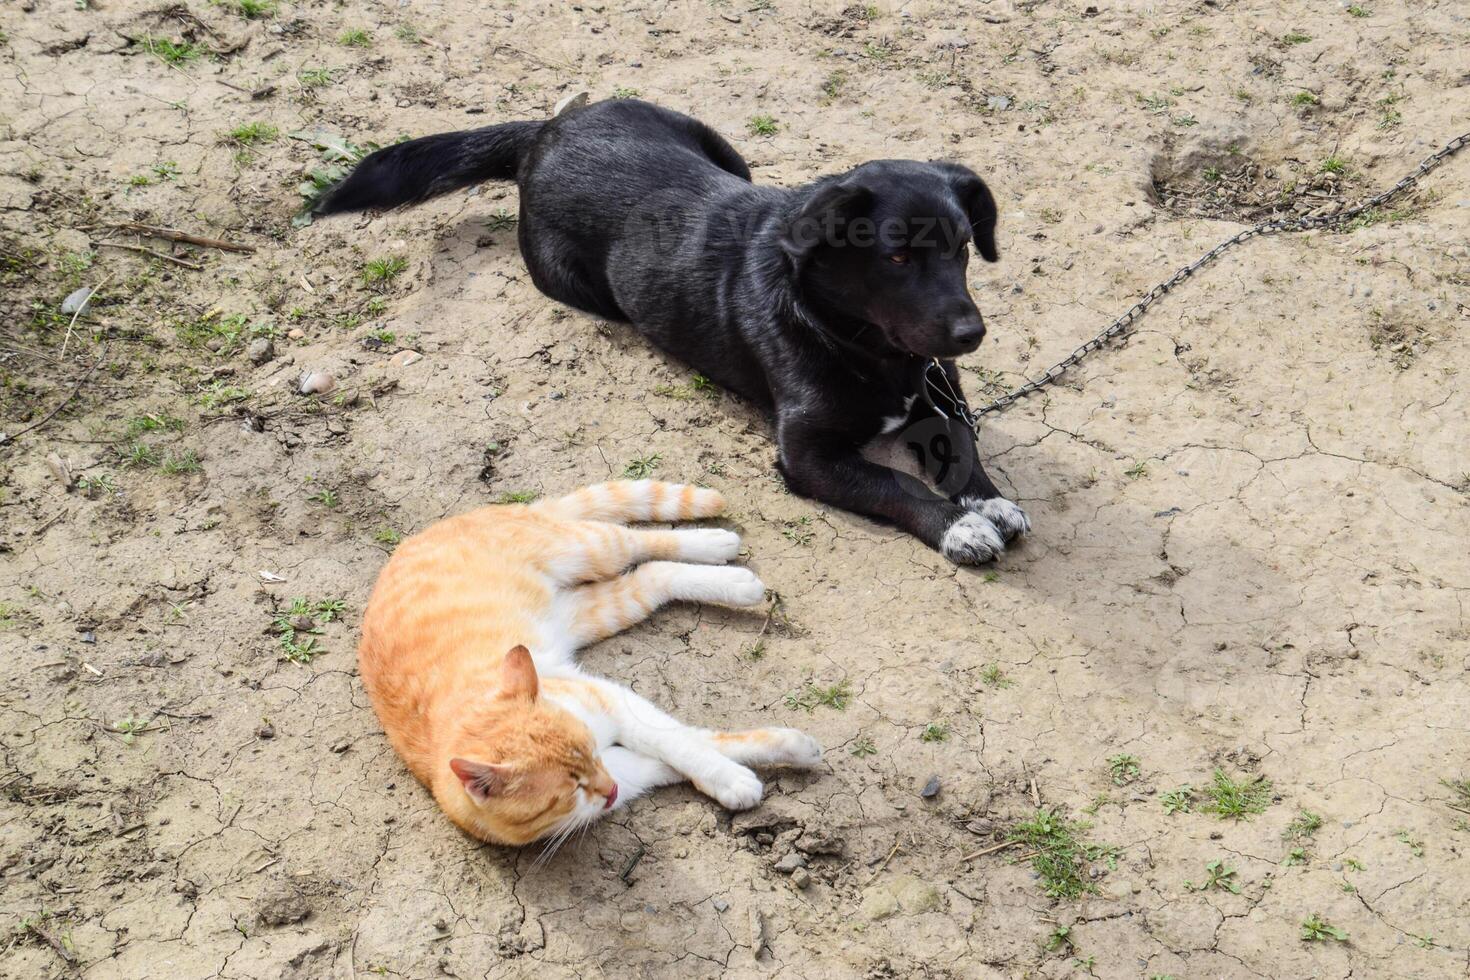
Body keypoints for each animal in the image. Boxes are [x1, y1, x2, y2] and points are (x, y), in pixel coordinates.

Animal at [321, 100, 1034, 567]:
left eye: (963, 247)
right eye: (897, 257)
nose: (971, 333)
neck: (863, 345)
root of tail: (546, 131)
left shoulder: (941, 390)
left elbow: (962, 443)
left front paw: (988, 501)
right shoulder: (809, 456)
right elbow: (896, 484)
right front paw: (957, 526)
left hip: (723, 149)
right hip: (581, 287)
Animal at [354, 481, 817, 852]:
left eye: (592, 754)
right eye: (571, 790)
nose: (608, 790)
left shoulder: (612, 701)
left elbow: (678, 741)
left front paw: (743, 767)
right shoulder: (620, 764)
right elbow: (691, 746)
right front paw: (760, 764)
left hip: (589, 549)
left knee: (639, 543)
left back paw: (719, 550)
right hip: (600, 608)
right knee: (654, 575)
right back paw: (730, 578)